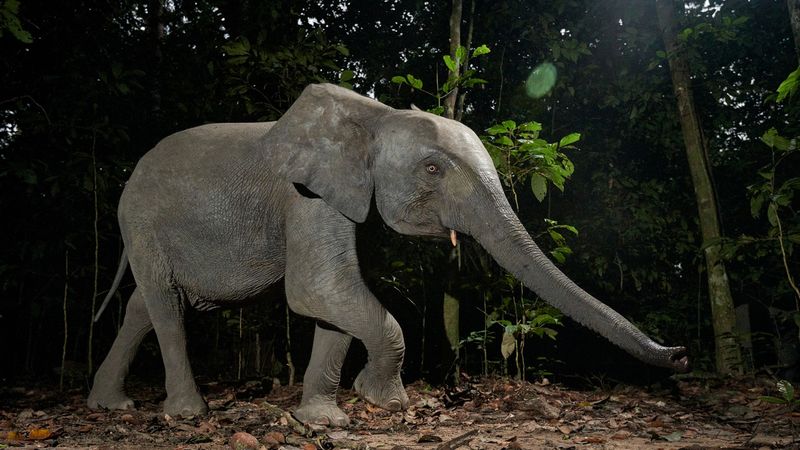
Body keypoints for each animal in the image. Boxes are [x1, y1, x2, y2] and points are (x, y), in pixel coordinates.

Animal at [86, 83, 688, 426]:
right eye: (432, 169)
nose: (681, 355)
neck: (374, 117)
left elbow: (331, 303)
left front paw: (326, 420)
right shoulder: (304, 197)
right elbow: (317, 289)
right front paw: (387, 403)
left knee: (144, 306)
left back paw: (111, 406)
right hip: (140, 221)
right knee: (166, 306)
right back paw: (188, 415)